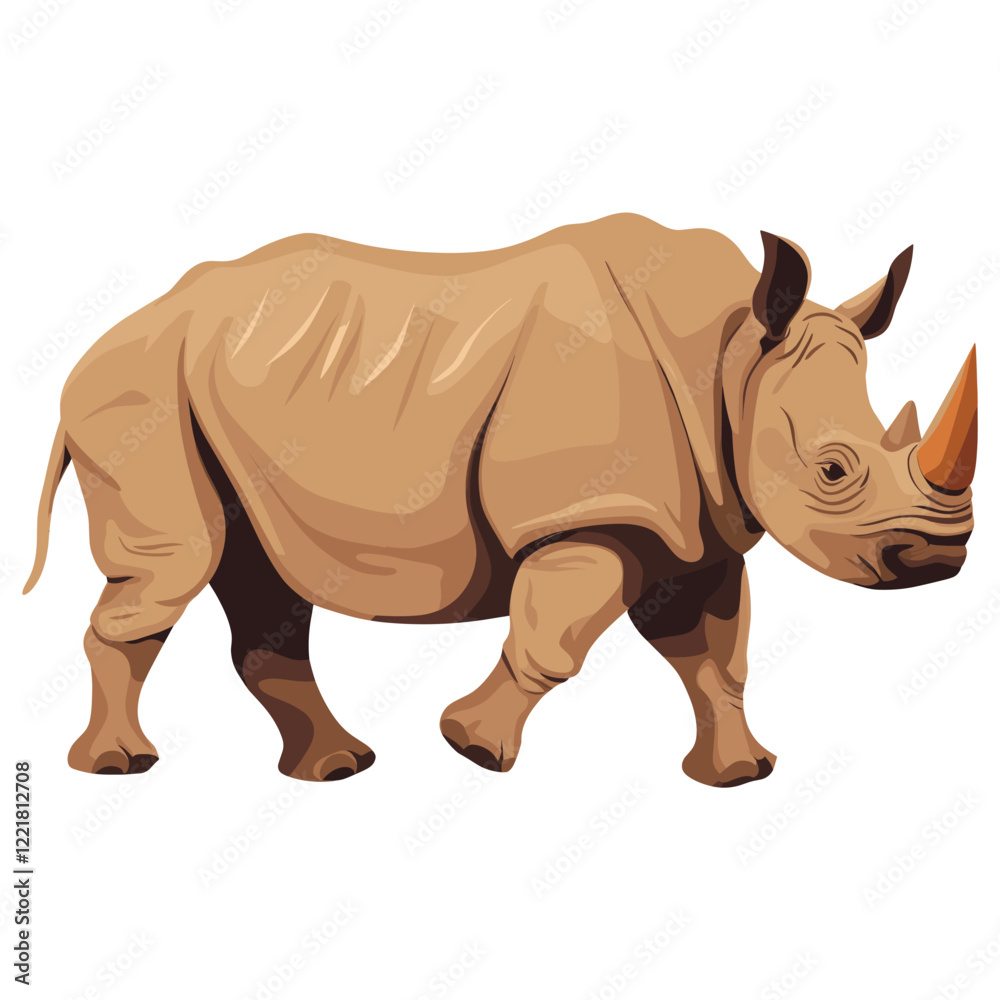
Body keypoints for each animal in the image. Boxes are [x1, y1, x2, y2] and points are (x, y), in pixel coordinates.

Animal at [25, 214, 977, 786]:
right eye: (834, 471)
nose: (936, 558)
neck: (730, 354)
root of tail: (102, 341)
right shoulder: (591, 512)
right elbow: (556, 637)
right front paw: (473, 748)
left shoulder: (701, 523)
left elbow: (715, 654)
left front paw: (739, 774)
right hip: (139, 396)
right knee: (177, 567)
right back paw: (120, 767)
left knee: (255, 574)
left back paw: (337, 769)